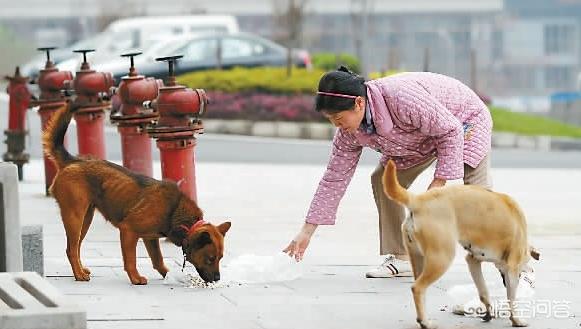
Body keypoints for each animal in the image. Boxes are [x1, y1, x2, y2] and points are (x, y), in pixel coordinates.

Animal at [43, 103, 230, 284]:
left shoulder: (150, 239)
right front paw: (135, 278)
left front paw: (167, 275)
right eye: (210, 258)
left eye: (220, 258)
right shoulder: (128, 231)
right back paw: (79, 274)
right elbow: (131, 260)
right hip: (75, 217)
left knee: (75, 247)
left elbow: (158, 260)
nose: (217, 279)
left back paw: (81, 270)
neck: (175, 211)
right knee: (71, 249)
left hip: (85, 218)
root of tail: (73, 161)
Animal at [380, 160, 540, 328]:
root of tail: (419, 200)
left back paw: (422, 319)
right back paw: (425, 322)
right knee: (417, 287)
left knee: (420, 288)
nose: (527, 272)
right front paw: (516, 320)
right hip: (441, 258)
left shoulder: (473, 261)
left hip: (418, 258)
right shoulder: (512, 268)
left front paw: (488, 312)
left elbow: (483, 291)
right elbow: (511, 298)